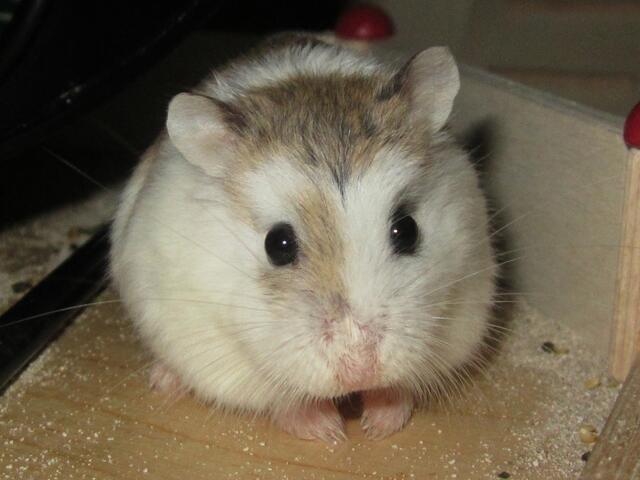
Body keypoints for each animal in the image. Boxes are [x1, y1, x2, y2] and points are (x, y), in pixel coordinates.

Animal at [109, 34, 497, 442]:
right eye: (277, 245)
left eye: (407, 230)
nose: (361, 370)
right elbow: (284, 398)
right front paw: (330, 432)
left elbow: (399, 388)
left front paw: (378, 424)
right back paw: (164, 381)